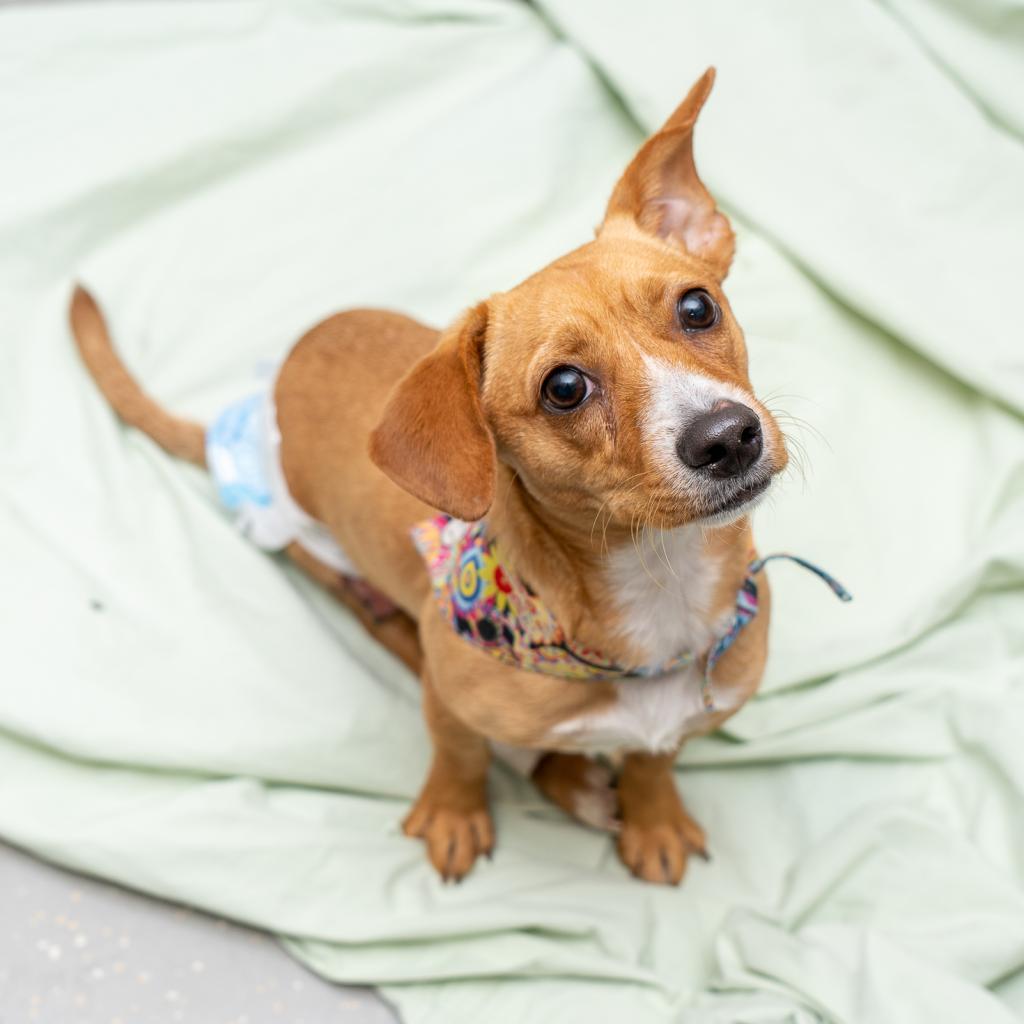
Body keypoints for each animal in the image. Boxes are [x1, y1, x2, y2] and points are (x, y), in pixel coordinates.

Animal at [68, 74, 843, 888]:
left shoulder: (686, 718)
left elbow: (655, 758)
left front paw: (653, 812)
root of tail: (254, 401)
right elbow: (461, 751)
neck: (662, 589)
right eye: (564, 387)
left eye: (698, 306)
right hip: (333, 564)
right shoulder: (451, 697)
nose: (727, 437)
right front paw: (455, 811)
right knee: (394, 637)